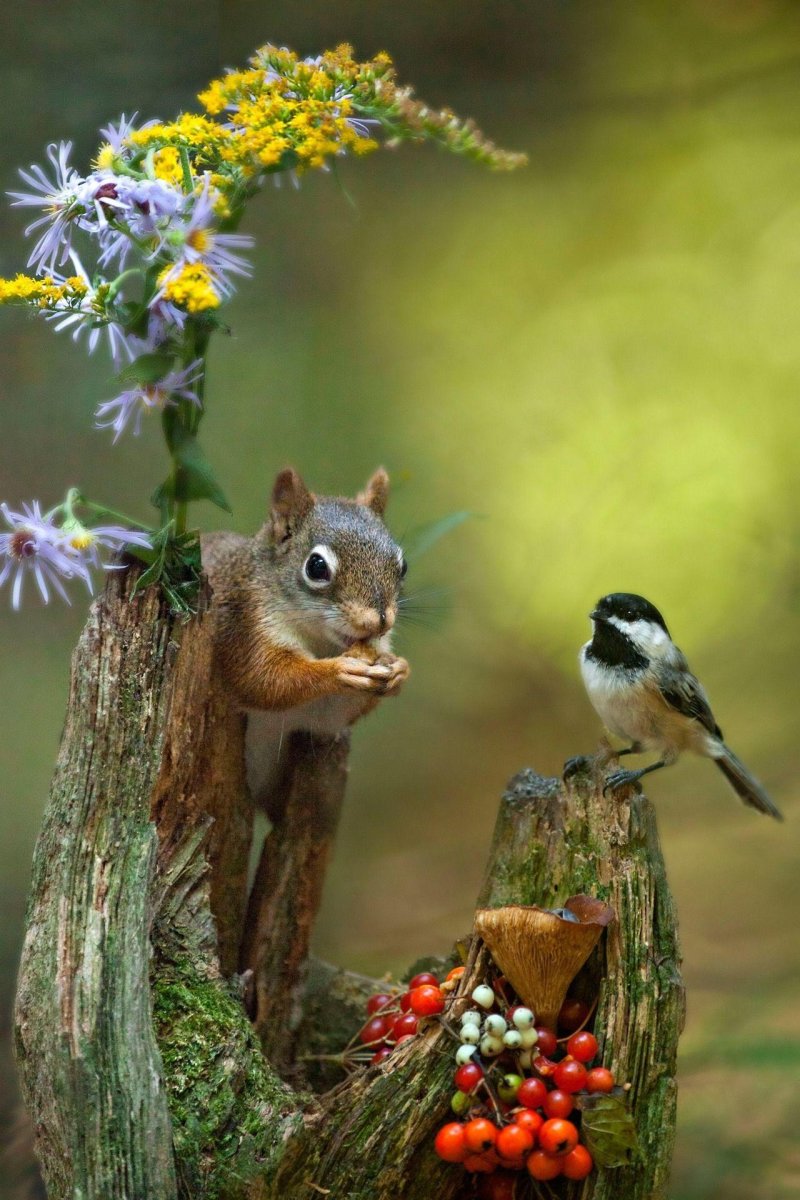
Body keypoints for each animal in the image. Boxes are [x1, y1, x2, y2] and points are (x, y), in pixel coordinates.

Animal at [200, 468, 412, 806]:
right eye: (316, 566)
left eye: (402, 566)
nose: (379, 621)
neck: (322, 641)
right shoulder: (243, 626)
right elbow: (264, 679)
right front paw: (339, 670)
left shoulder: (317, 719)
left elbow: (331, 714)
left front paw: (400, 671)